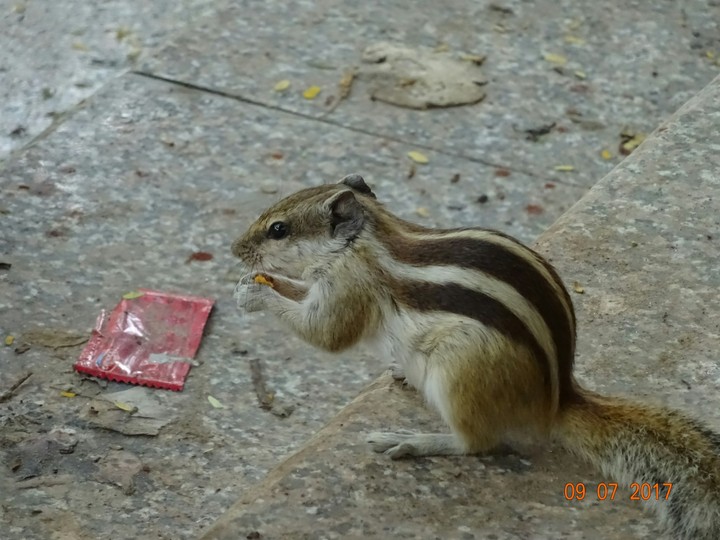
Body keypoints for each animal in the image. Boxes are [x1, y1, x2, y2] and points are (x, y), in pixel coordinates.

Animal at [232, 174, 720, 539]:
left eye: (279, 229)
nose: (235, 250)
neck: (368, 239)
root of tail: (556, 401)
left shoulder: (350, 287)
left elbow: (326, 334)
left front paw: (257, 294)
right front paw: (258, 283)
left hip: (458, 372)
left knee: (477, 443)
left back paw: (411, 441)